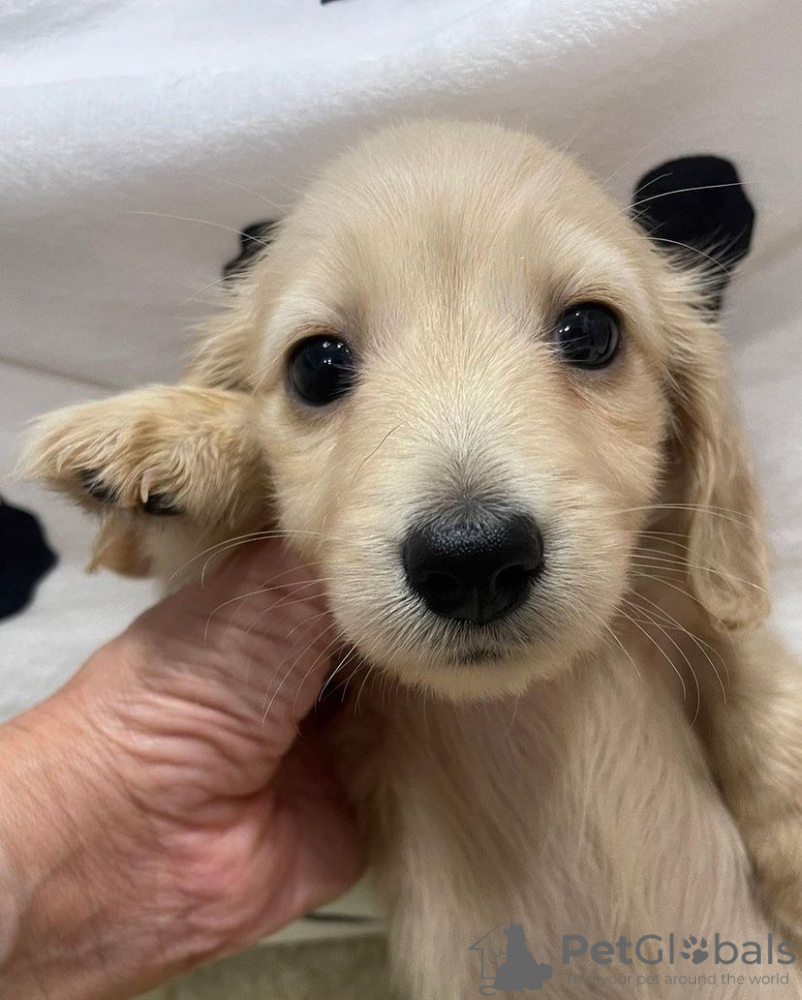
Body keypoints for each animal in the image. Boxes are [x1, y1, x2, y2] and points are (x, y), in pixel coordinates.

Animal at [22, 121, 802, 998]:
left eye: (591, 331)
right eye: (317, 364)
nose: (473, 563)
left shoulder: (694, 611)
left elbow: (760, 690)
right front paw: (180, 436)